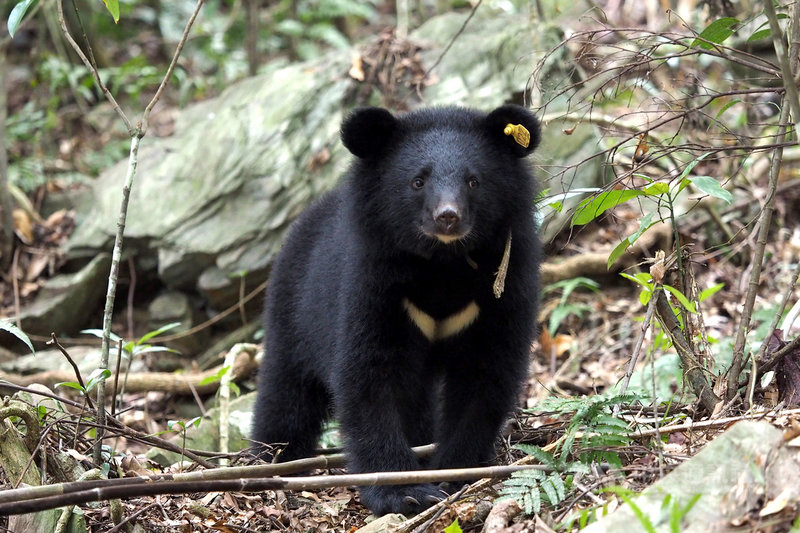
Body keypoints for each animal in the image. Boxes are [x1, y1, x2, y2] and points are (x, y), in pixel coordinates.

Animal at [251, 104, 542, 516]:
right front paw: (404, 491)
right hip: (294, 311)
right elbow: (370, 376)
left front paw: (452, 473)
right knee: (286, 394)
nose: (447, 217)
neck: (442, 265)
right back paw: (273, 459)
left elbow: (485, 375)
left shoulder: (502, 286)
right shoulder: (374, 284)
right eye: (417, 181)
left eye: (474, 181)